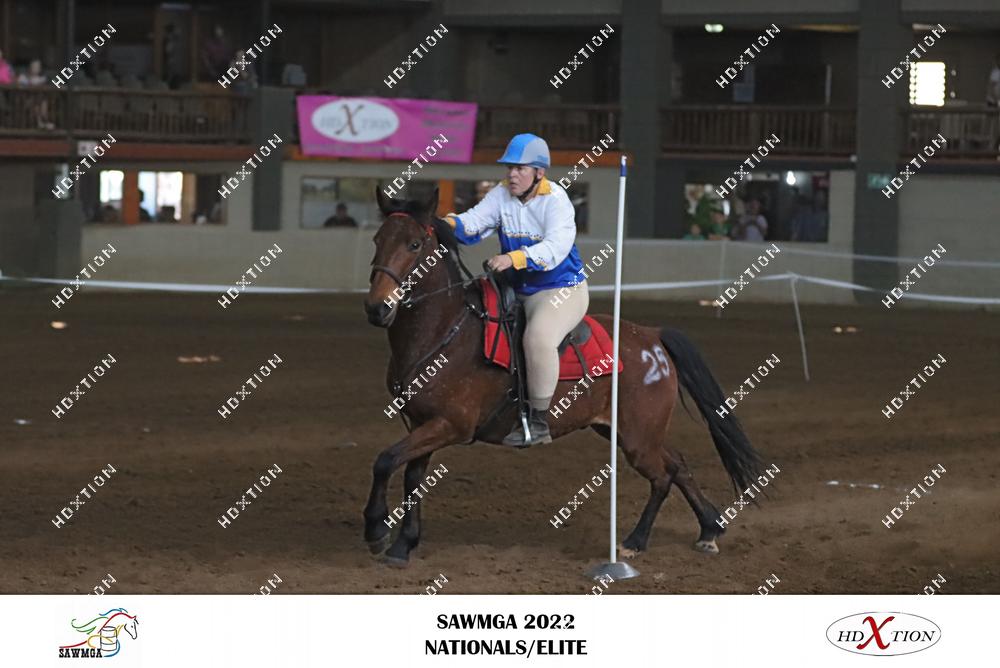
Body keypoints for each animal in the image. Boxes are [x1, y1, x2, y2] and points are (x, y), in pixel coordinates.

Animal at [362, 188, 765, 566]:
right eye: (377, 240)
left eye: (414, 244)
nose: (376, 307)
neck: (447, 331)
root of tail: (652, 337)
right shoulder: (421, 422)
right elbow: (411, 477)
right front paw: (403, 544)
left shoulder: (450, 425)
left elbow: (384, 460)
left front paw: (377, 530)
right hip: (625, 431)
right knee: (678, 464)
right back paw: (709, 528)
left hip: (638, 439)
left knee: (663, 475)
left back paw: (635, 541)